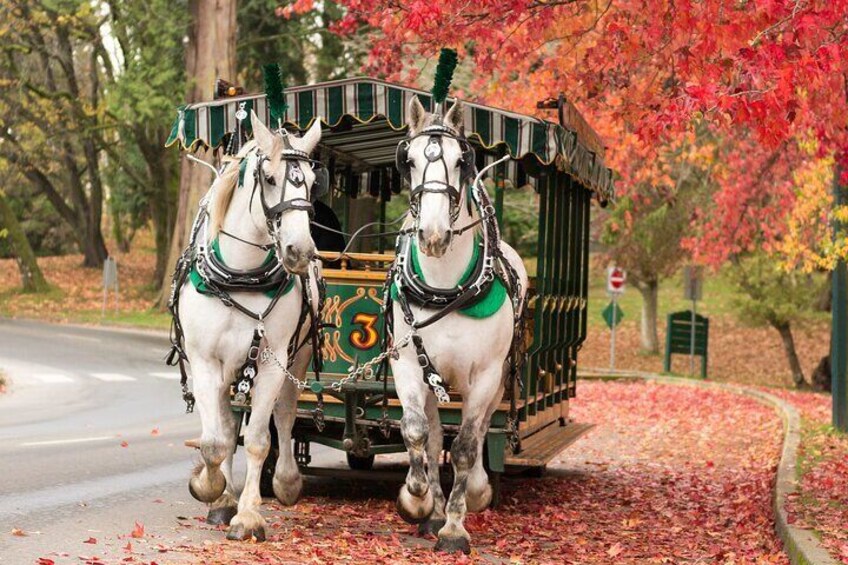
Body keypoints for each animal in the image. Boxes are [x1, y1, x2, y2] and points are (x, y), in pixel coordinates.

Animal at [177, 112, 322, 540]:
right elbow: (215, 442)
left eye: (312, 180)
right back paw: (222, 496)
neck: (242, 275)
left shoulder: (273, 362)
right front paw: (209, 488)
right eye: (270, 178)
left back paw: (285, 481)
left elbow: (259, 439)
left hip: (297, 359)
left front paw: (248, 515)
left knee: (285, 417)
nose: (300, 251)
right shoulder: (205, 362)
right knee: (226, 427)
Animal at [392, 97, 528, 552]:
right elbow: (416, 431)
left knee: (482, 429)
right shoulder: (408, 365)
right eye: (410, 160)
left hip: (499, 382)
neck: (444, 287)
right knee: (435, 436)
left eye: (459, 160)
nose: (433, 235)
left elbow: (468, 446)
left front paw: (454, 527)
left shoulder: (485, 377)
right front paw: (417, 500)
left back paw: (472, 494)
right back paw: (431, 508)